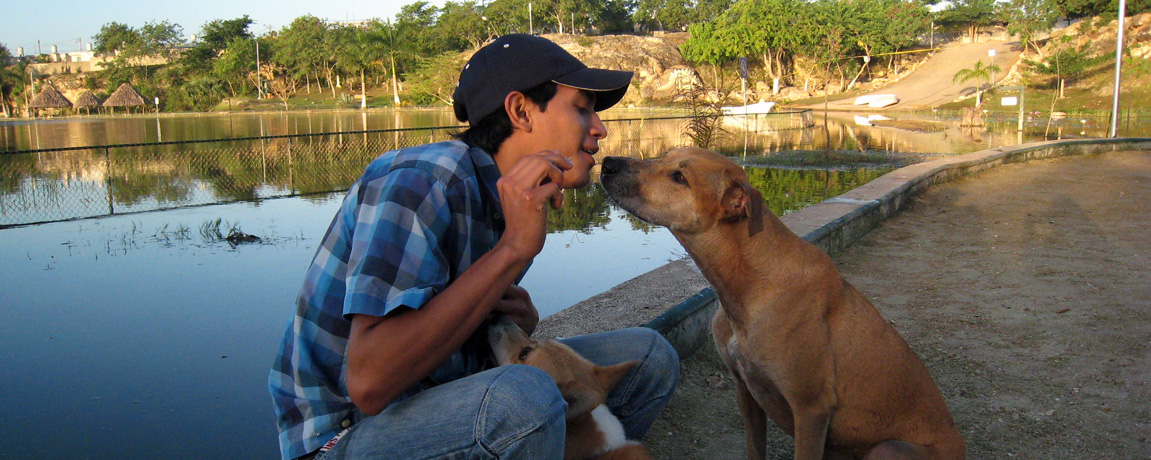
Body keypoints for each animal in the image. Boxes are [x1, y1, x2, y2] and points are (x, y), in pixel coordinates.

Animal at [598, 148, 966, 460]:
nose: (607, 162)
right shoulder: (745, 391)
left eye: (679, 177)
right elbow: (754, 448)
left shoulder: (811, 410)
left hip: (888, 448)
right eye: (664, 156)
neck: (748, 284)